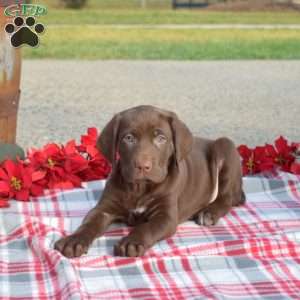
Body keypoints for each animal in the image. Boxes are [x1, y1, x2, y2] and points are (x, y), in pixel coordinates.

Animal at [55, 105, 245, 258]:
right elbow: (89, 223)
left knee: (228, 198)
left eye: (161, 138)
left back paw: (208, 212)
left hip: (225, 146)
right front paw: (73, 240)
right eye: (128, 138)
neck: (140, 187)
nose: (142, 166)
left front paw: (131, 242)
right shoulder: (104, 209)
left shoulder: (165, 216)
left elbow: (147, 228)